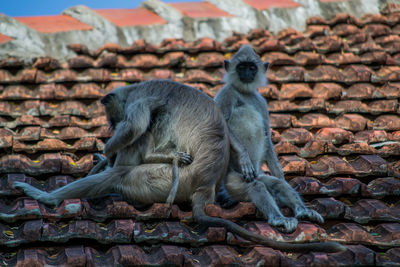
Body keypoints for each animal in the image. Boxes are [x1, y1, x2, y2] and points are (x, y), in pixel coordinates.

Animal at [14, 79, 346, 253]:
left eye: (112, 117)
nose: (110, 125)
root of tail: (204, 187)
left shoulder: (139, 98)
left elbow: (135, 127)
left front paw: (107, 150)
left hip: (170, 181)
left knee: (126, 165)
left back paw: (46, 197)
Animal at [216, 46, 324, 234]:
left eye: (251, 68)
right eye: (241, 67)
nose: (246, 73)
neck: (244, 92)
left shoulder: (261, 102)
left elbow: (267, 135)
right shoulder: (226, 94)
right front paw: (244, 156)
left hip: (258, 174)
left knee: (277, 184)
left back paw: (303, 211)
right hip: (233, 182)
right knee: (256, 186)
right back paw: (278, 219)